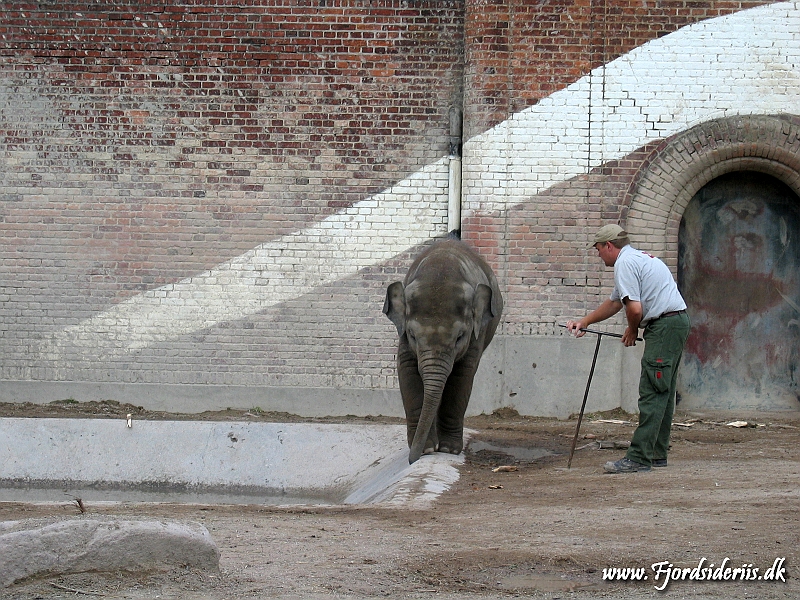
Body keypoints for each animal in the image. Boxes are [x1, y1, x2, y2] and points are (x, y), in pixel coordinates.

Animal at [384, 234, 504, 464]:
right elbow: (407, 369)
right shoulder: (403, 335)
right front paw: (428, 448)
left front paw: (448, 449)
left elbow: (461, 376)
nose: (412, 460)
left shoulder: (477, 333)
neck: (441, 269)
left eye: (459, 337)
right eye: (412, 335)